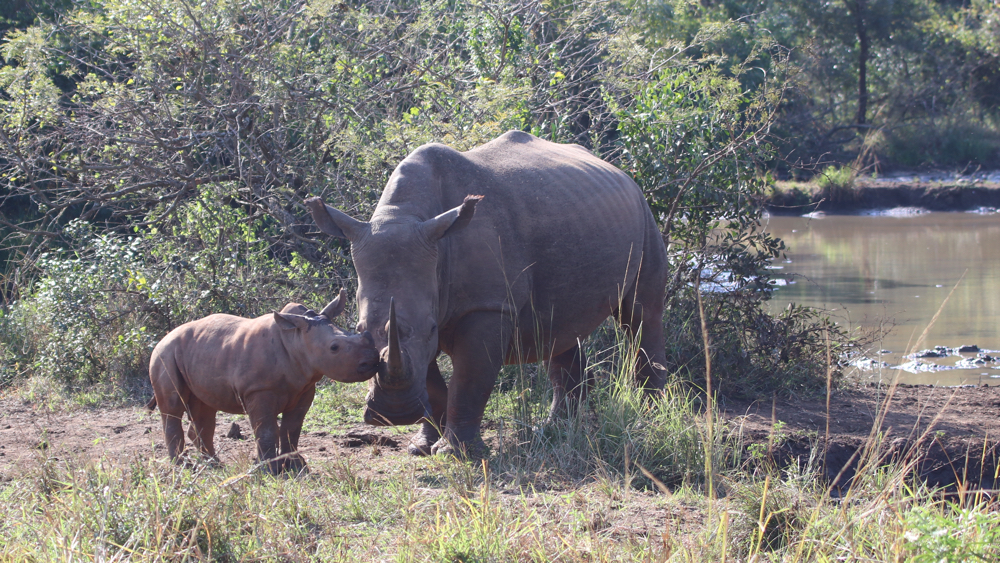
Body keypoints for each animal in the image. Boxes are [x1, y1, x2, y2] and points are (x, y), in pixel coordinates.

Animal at [146, 290, 379, 473]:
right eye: (334, 348)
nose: (372, 360)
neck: (295, 339)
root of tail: (163, 338)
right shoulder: (258, 390)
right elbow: (266, 430)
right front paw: (269, 469)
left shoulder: (304, 388)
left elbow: (292, 428)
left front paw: (296, 466)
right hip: (164, 354)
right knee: (173, 407)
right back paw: (183, 467)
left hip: (198, 353)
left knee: (204, 409)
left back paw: (214, 465)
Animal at [307, 131, 668, 457]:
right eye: (358, 331)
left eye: (432, 328)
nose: (393, 415)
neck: (405, 214)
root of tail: (621, 172)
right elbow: (432, 380)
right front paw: (420, 447)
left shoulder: (487, 306)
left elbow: (469, 380)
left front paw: (455, 453)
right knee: (561, 328)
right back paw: (553, 431)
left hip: (644, 215)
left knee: (641, 316)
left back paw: (649, 422)